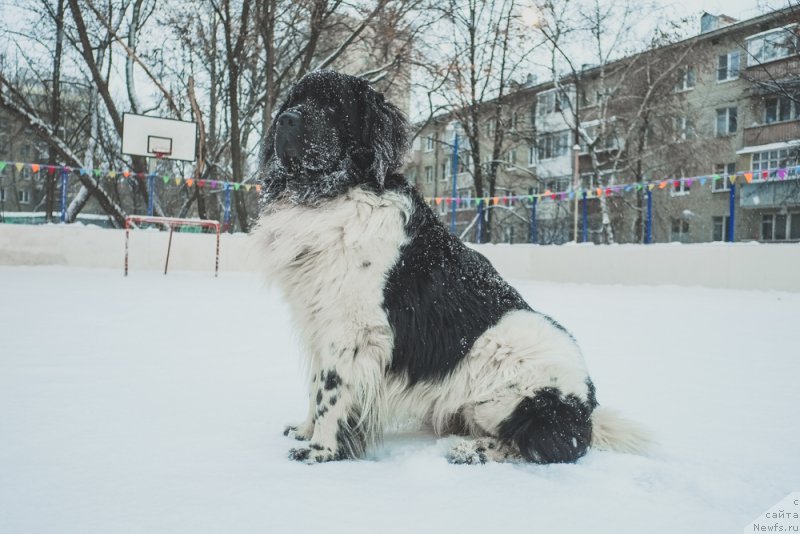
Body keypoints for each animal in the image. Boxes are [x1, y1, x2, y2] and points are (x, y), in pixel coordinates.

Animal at [258, 71, 648, 464]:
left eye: (333, 105)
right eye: (293, 100)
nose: (286, 120)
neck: (333, 193)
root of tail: (587, 409)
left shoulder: (352, 329)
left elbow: (331, 392)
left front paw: (320, 451)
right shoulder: (318, 322)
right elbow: (315, 386)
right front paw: (305, 431)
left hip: (506, 365)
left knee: (546, 445)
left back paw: (472, 450)